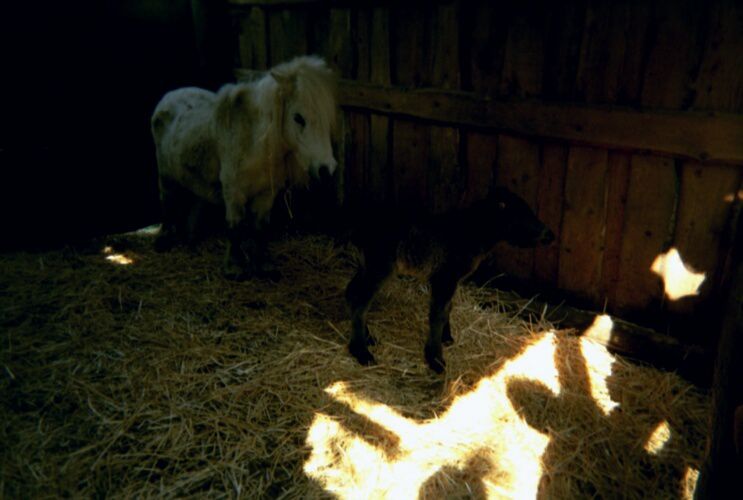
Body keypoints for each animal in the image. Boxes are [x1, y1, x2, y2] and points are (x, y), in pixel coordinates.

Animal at [153, 56, 338, 280]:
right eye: (298, 118)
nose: (326, 169)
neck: (254, 144)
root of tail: (170, 95)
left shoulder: (267, 194)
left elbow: (260, 228)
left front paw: (263, 265)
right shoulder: (233, 193)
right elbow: (235, 227)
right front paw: (234, 267)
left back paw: (191, 238)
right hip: (165, 176)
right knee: (167, 202)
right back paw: (163, 241)